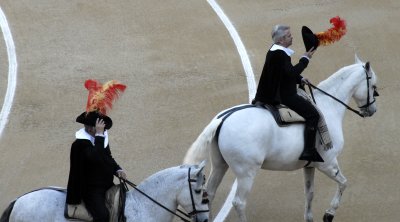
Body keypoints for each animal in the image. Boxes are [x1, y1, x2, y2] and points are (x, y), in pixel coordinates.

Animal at [184, 56, 378, 222]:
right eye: (374, 87)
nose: (372, 111)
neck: (328, 106)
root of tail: (223, 118)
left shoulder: (310, 166)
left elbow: (310, 193)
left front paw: (310, 218)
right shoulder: (328, 163)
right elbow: (344, 183)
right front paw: (329, 214)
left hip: (220, 164)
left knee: (209, 194)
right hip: (247, 172)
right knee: (239, 202)